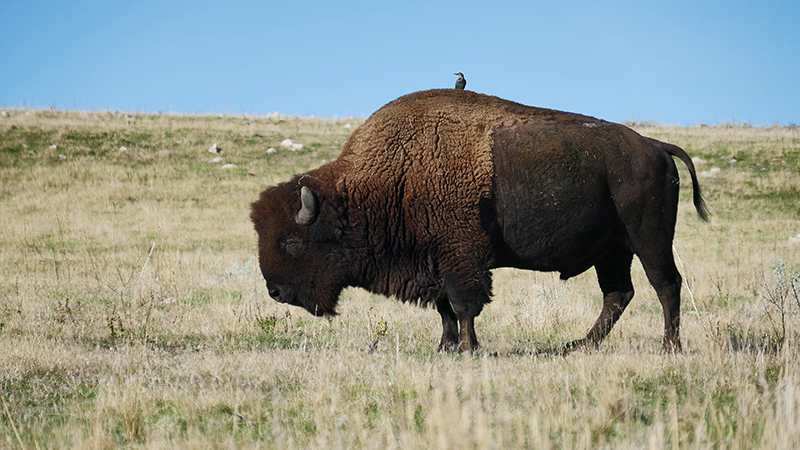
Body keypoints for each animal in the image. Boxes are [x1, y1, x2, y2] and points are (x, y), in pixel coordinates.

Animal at [250, 89, 708, 354]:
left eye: (292, 241)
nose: (275, 291)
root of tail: (655, 146)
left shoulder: (460, 258)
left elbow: (463, 304)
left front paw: (469, 348)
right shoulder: (432, 260)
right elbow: (444, 308)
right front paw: (445, 347)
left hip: (649, 239)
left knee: (666, 285)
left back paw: (669, 348)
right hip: (612, 251)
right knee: (618, 294)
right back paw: (578, 345)